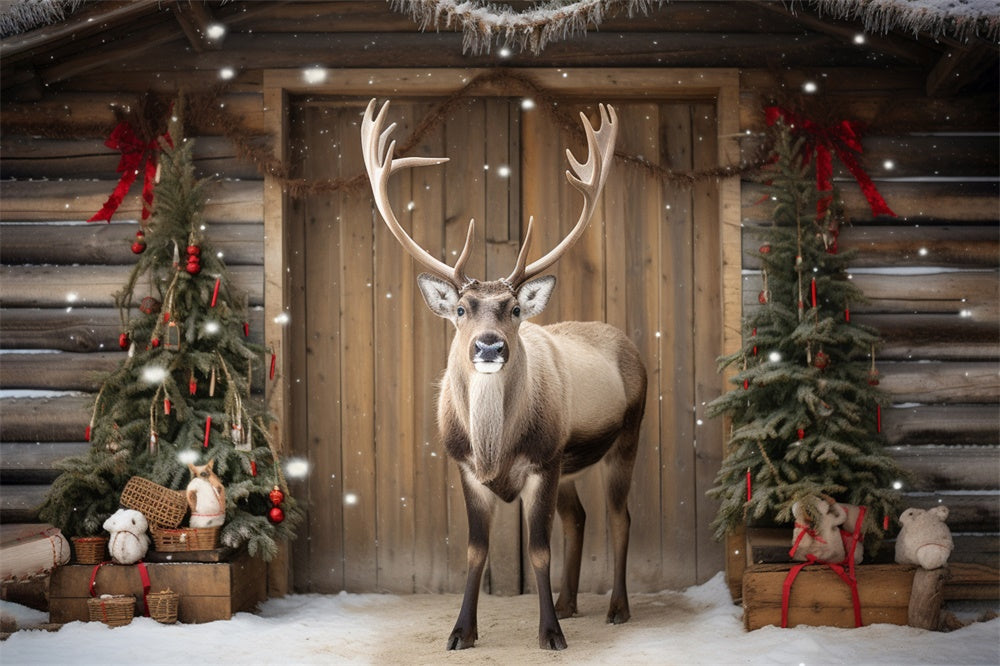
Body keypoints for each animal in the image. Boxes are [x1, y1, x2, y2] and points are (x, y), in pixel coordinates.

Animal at [360, 99, 647, 651]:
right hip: (571, 462)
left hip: (625, 435)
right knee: (579, 517)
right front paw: (461, 632)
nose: (489, 344)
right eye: (461, 309)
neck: (495, 446)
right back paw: (571, 602)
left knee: (620, 516)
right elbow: (475, 550)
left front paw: (550, 634)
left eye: (514, 308)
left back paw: (617, 608)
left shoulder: (543, 460)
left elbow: (537, 550)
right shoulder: (466, 467)